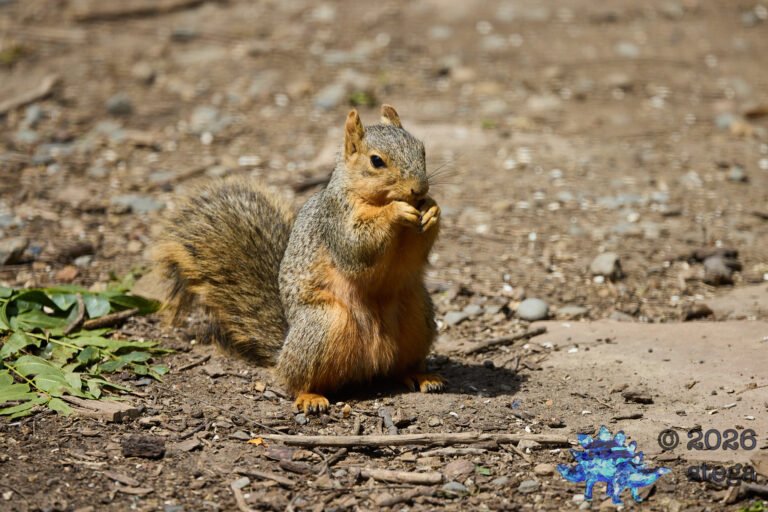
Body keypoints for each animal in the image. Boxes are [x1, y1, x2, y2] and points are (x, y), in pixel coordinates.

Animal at [154, 104, 443, 414]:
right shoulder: (334, 221)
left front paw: (432, 209)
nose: (419, 190)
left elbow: (415, 253)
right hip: (322, 325)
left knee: (400, 366)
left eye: (422, 149)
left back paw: (422, 376)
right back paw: (310, 396)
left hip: (417, 317)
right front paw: (396, 211)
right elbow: (356, 246)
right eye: (376, 161)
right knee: (296, 380)